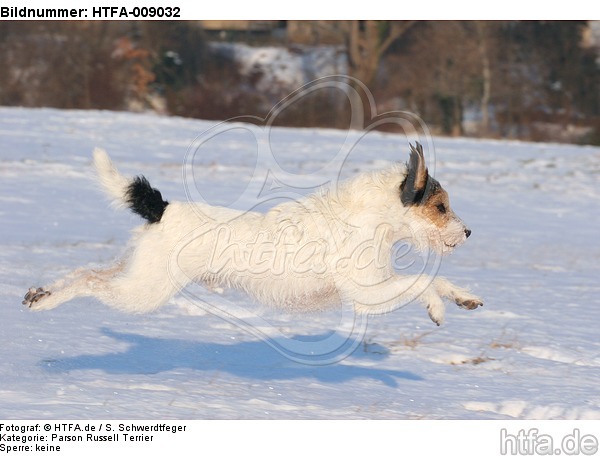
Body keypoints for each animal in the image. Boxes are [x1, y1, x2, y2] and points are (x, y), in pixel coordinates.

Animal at [22, 142, 482, 324]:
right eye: (440, 207)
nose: (468, 232)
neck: (369, 218)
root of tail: (164, 208)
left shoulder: (379, 284)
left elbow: (437, 279)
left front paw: (462, 297)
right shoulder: (368, 294)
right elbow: (421, 281)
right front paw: (436, 308)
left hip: (133, 270)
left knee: (84, 272)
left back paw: (41, 294)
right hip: (144, 291)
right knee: (89, 284)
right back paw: (47, 301)